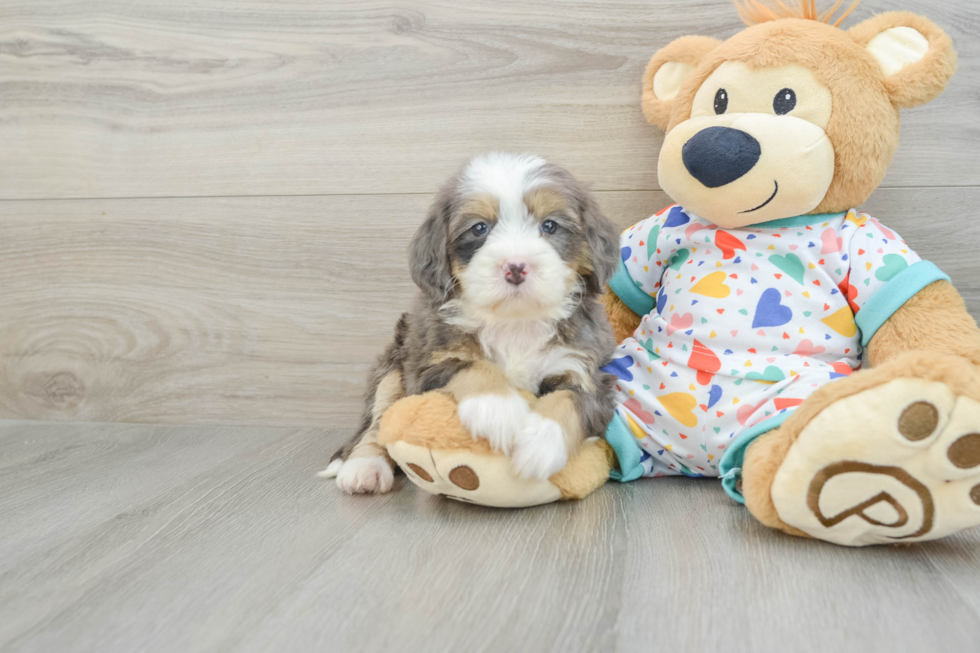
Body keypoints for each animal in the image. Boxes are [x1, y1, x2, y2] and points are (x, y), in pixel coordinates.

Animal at [322, 153, 616, 494]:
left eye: (550, 225)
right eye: (479, 228)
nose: (516, 266)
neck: (514, 322)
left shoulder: (585, 368)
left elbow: (569, 400)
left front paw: (539, 445)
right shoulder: (426, 364)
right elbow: (473, 366)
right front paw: (498, 410)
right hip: (394, 363)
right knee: (377, 422)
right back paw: (365, 467)